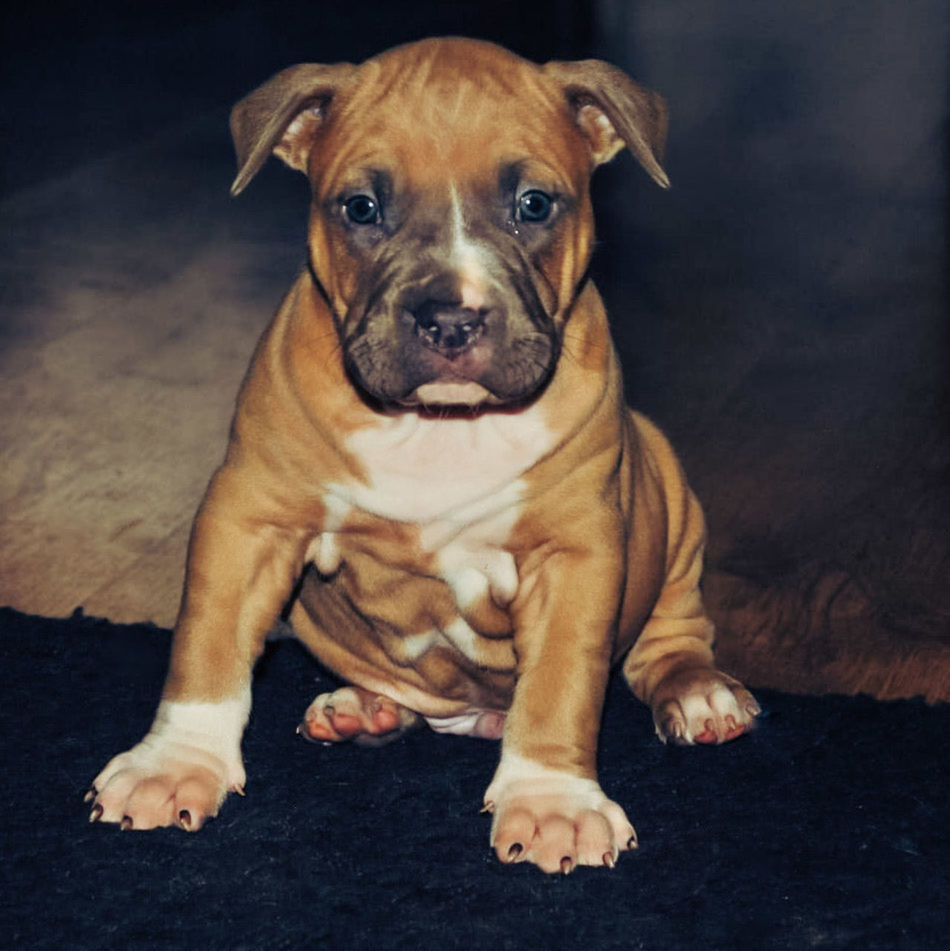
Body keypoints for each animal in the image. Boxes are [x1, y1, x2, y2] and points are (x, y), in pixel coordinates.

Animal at [89, 37, 760, 872]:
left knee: (671, 635)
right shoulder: (248, 518)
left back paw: (698, 691)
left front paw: (552, 799)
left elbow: (561, 681)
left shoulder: (575, 551)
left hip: (669, 499)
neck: (439, 425)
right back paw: (365, 707)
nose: (450, 318)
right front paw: (175, 762)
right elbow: (207, 646)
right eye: (361, 208)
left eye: (534, 205)